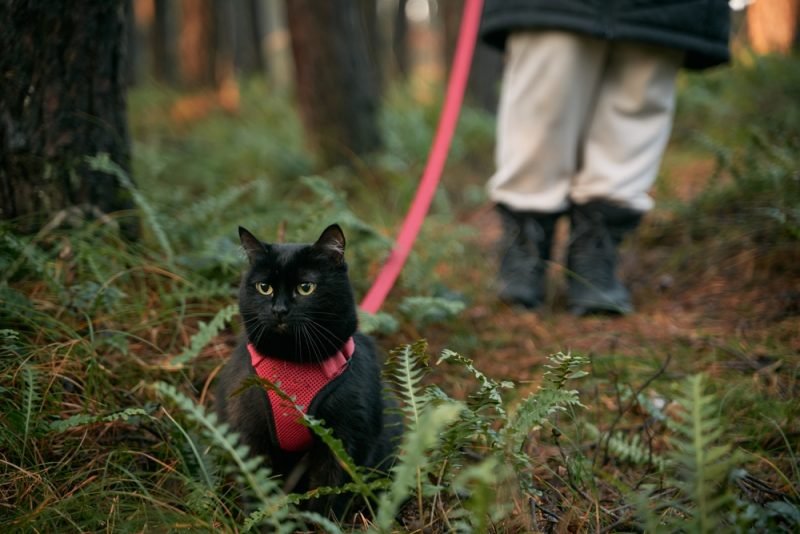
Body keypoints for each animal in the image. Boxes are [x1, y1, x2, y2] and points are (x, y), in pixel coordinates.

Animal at [216, 224, 400, 516]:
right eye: (264, 287)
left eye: (305, 288)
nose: (279, 310)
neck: (293, 362)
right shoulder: (250, 433)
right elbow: (259, 490)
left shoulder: (344, 440)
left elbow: (329, 496)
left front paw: (318, 522)